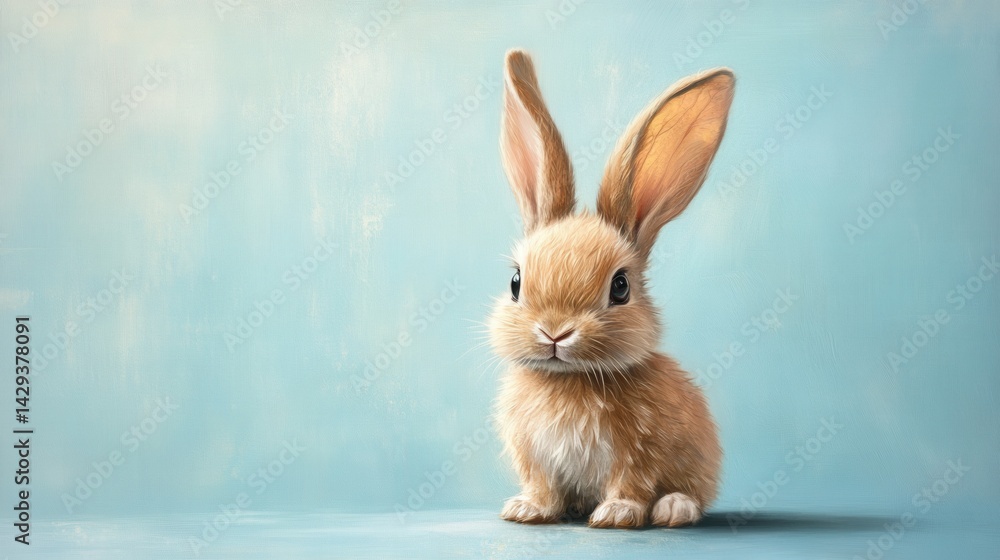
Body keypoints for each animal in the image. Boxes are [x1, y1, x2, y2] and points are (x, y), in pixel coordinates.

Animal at [489, 50, 735, 529]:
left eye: (620, 287)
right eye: (515, 283)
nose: (555, 332)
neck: (570, 380)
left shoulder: (640, 452)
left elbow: (632, 483)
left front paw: (617, 515)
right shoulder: (535, 459)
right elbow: (543, 487)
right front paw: (527, 509)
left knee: (692, 494)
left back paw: (674, 508)